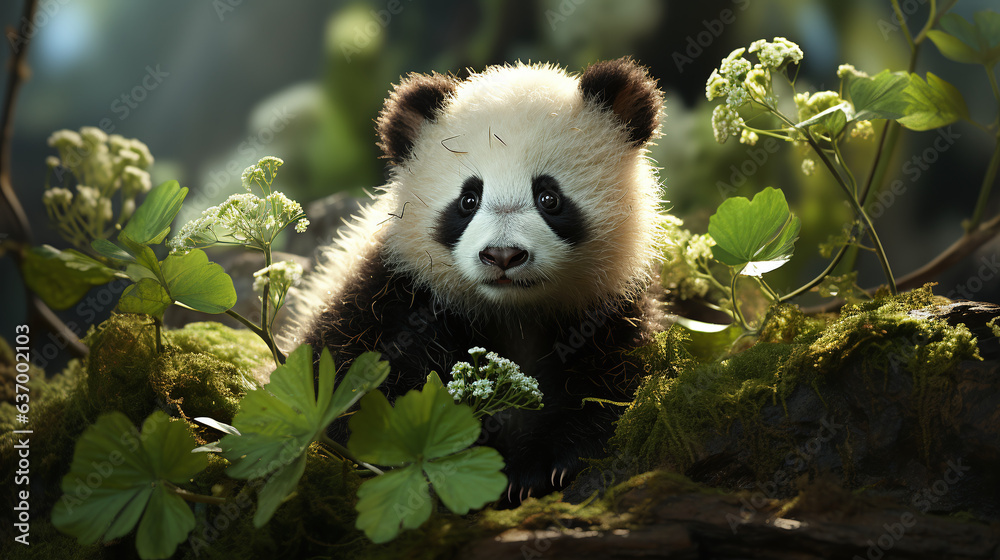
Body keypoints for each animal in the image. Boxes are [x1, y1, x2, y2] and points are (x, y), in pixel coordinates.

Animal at [286, 57, 666, 504]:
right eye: (468, 199)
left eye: (549, 197)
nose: (503, 255)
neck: (512, 313)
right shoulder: (392, 291)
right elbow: (343, 380)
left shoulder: (609, 306)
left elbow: (616, 386)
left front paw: (546, 466)